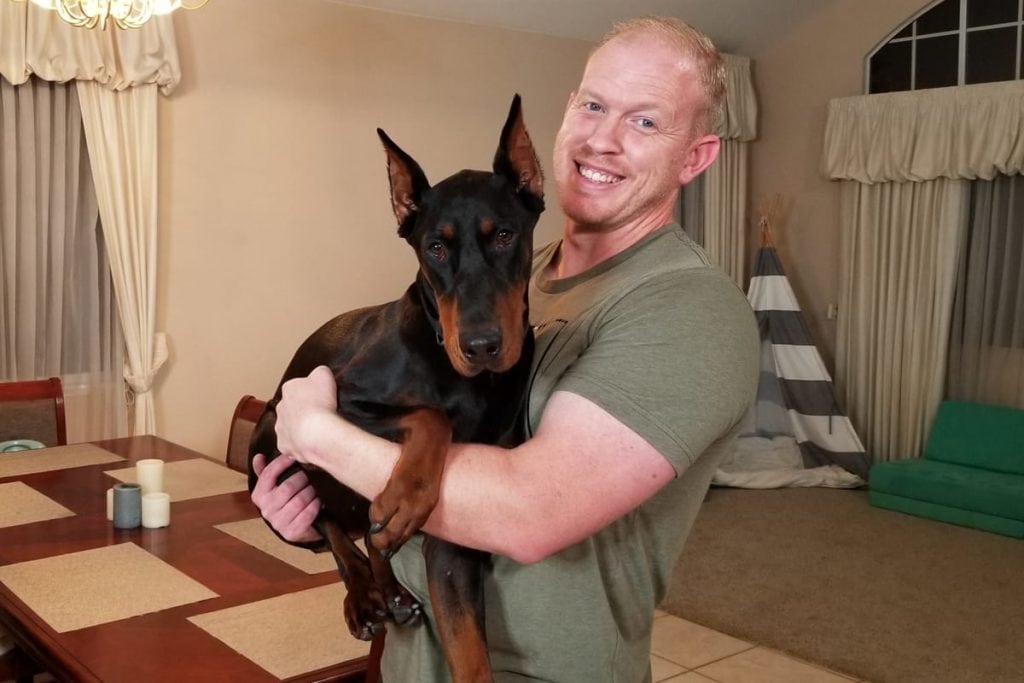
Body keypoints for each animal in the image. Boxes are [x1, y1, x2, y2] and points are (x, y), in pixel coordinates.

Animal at [247, 96, 544, 683]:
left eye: (505, 235)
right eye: (435, 248)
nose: (481, 345)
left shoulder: (462, 535)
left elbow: (471, 655)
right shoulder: (334, 400)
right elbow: (432, 416)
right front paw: (408, 495)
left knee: (364, 530)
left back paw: (392, 592)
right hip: (273, 431)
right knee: (334, 527)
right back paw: (366, 596)